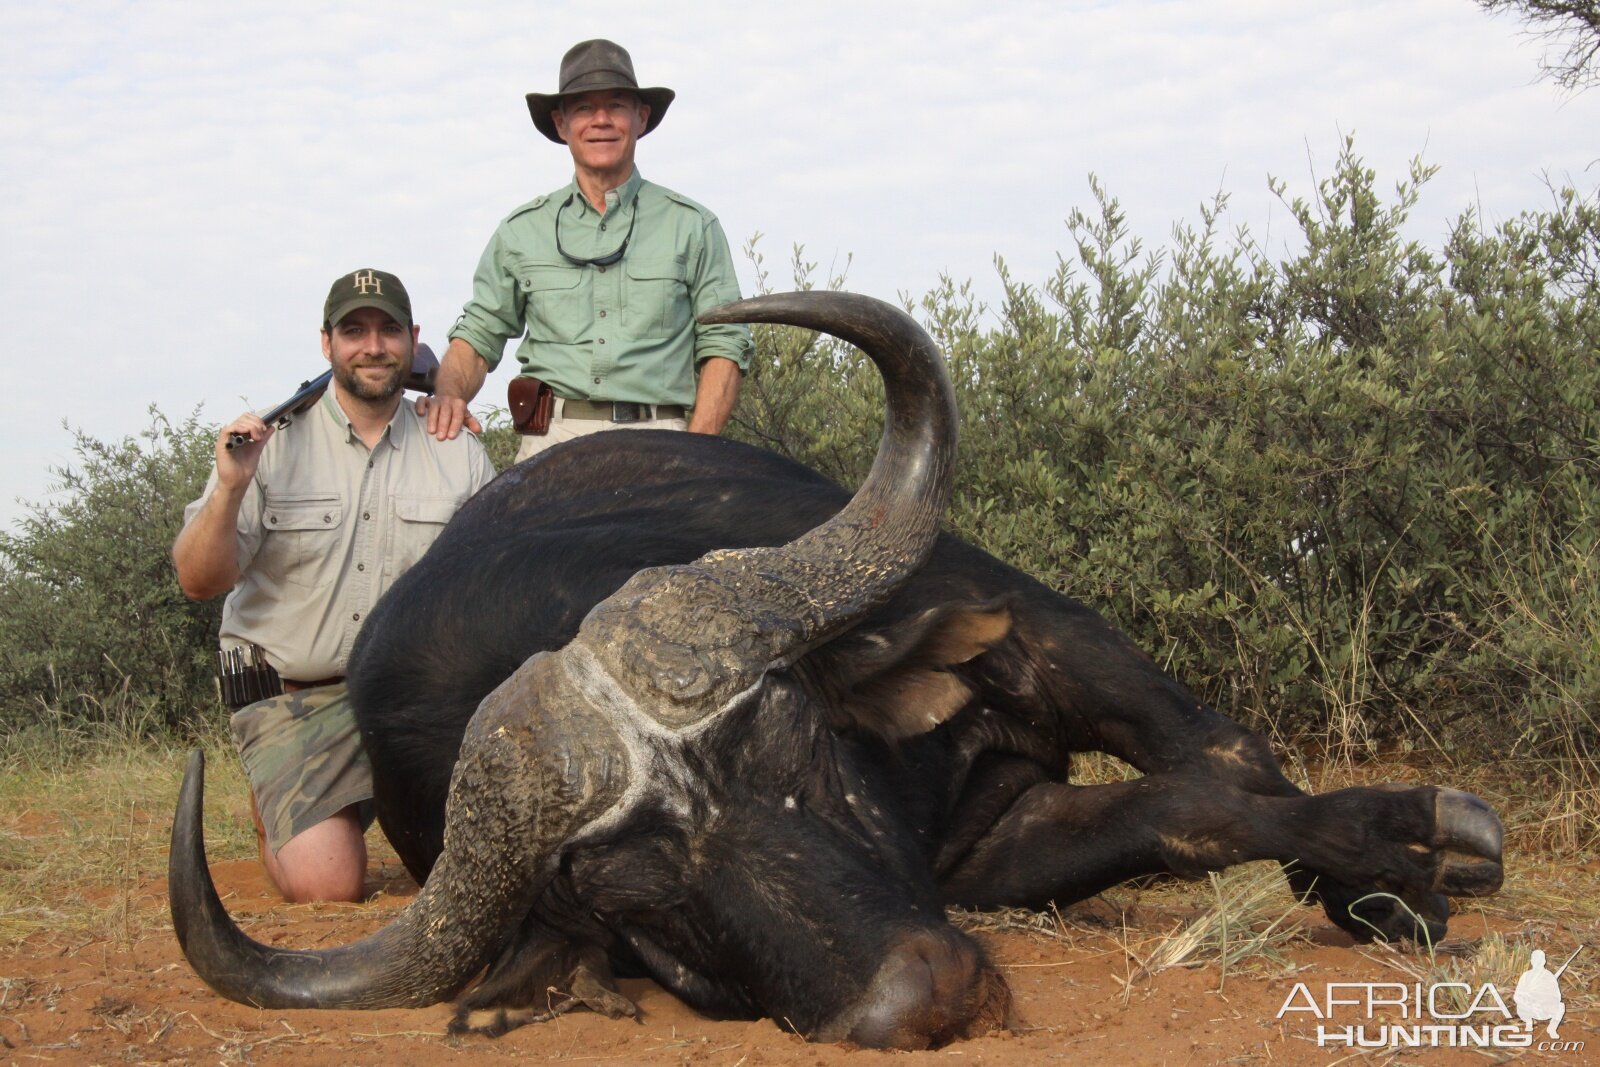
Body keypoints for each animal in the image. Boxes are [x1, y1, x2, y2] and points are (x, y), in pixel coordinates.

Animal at [168, 289, 1504, 1049]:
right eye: (629, 899)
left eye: (791, 742)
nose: (923, 996)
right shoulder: (988, 845)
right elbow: (1183, 812)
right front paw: (1392, 858)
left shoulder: (1030, 632)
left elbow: (1219, 761)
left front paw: (1404, 857)